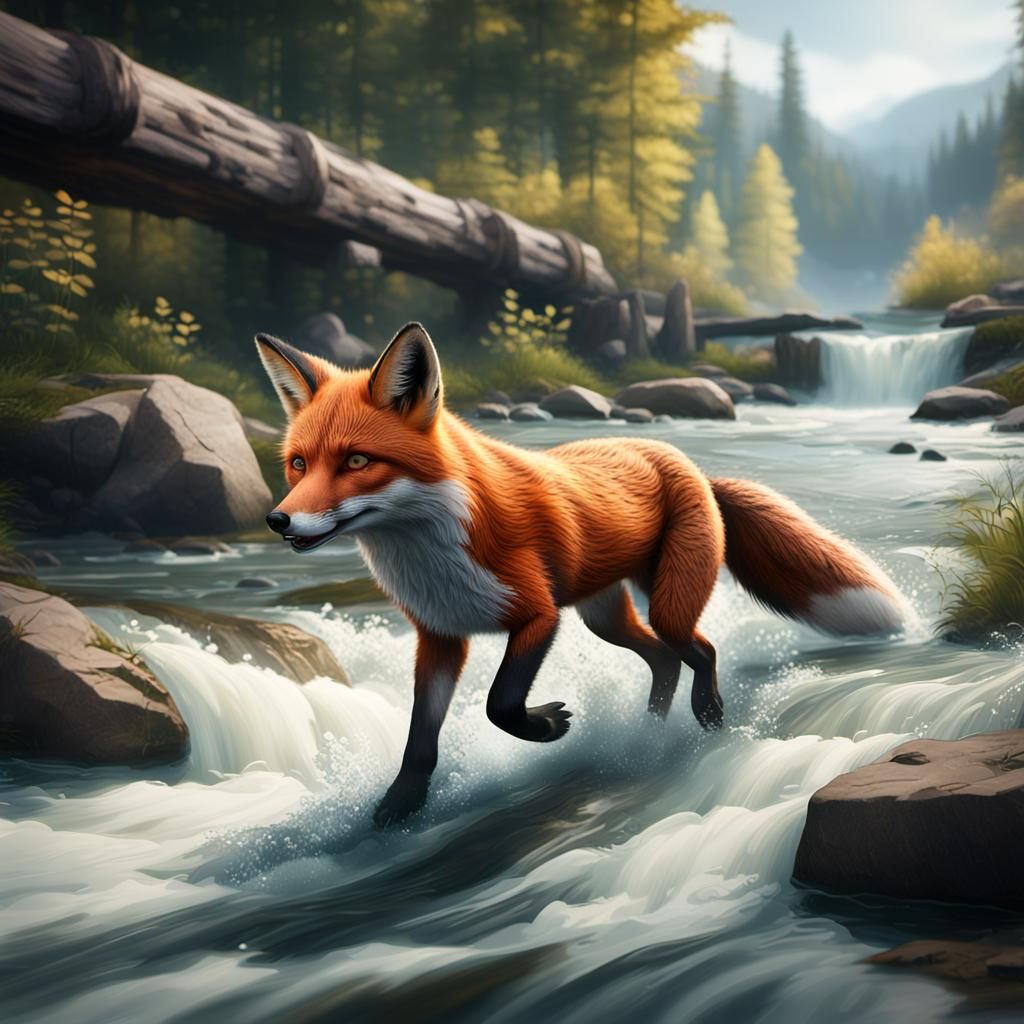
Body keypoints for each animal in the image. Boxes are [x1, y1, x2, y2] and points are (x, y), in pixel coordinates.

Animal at [256, 322, 905, 827]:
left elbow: (499, 704)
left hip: (664, 605)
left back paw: (706, 714)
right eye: (298, 463)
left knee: (700, 648)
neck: (434, 550)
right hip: (603, 617)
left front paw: (547, 726)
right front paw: (401, 805)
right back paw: (648, 732)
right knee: (663, 659)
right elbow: (420, 736)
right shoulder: (439, 637)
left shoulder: (537, 615)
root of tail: (692, 464)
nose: (277, 520)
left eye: (357, 461)